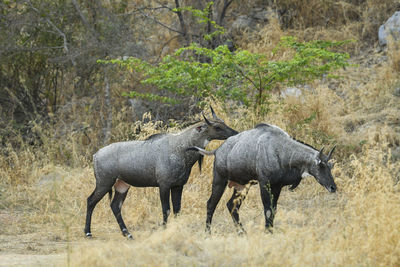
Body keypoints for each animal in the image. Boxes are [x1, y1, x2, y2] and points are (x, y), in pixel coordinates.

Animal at [84, 107, 238, 239]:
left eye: (223, 123)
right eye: (217, 127)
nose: (235, 133)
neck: (180, 148)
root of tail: (96, 155)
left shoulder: (178, 186)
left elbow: (177, 209)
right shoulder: (164, 185)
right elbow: (166, 209)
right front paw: (164, 229)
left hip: (122, 185)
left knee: (115, 206)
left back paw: (127, 234)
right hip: (104, 183)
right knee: (91, 200)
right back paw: (88, 232)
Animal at [188, 123, 338, 232]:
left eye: (330, 166)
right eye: (320, 165)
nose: (333, 187)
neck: (280, 150)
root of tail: (217, 150)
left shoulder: (277, 187)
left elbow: (273, 210)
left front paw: (270, 230)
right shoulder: (264, 184)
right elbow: (268, 210)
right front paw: (267, 232)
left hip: (242, 186)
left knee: (231, 205)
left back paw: (242, 232)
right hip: (220, 181)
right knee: (211, 204)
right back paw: (208, 233)